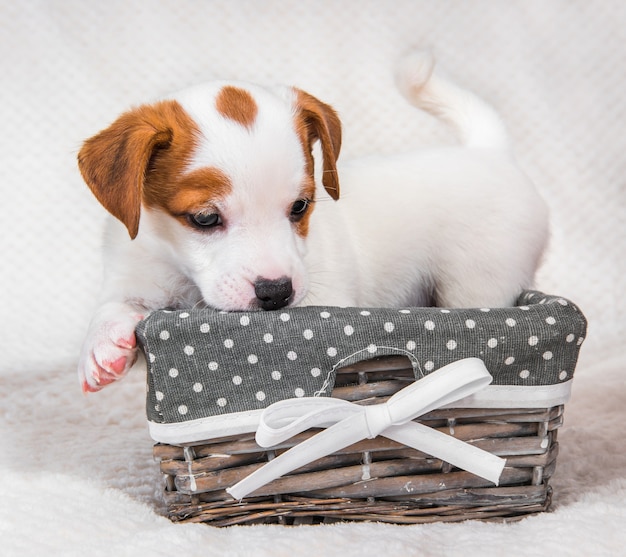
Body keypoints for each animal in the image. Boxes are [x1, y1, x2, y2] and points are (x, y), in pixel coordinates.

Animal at [77, 52, 544, 390]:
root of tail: (489, 151)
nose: (276, 292)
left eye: (300, 207)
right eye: (205, 218)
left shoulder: (326, 296)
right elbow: (112, 306)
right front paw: (101, 347)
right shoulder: (135, 275)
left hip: (477, 283)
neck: (181, 271)